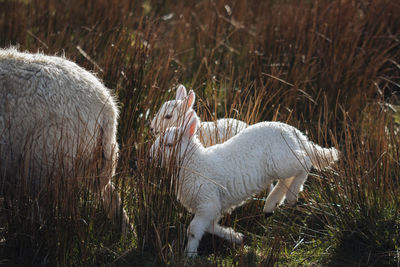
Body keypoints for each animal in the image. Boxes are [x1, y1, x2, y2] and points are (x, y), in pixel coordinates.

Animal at [0, 47, 130, 234]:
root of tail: (107, 109)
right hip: (88, 160)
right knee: (111, 197)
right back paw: (126, 232)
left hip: (46, 159)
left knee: (42, 210)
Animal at [149, 110, 338, 256]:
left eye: (169, 145)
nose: (150, 156)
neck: (195, 163)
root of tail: (296, 133)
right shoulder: (214, 207)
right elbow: (211, 227)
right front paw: (236, 237)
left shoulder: (207, 203)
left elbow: (194, 230)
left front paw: (190, 254)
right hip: (283, 160)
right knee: (292, 173)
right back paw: (273, 203)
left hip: (283, 161)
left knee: (305, 163)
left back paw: (288, 197)